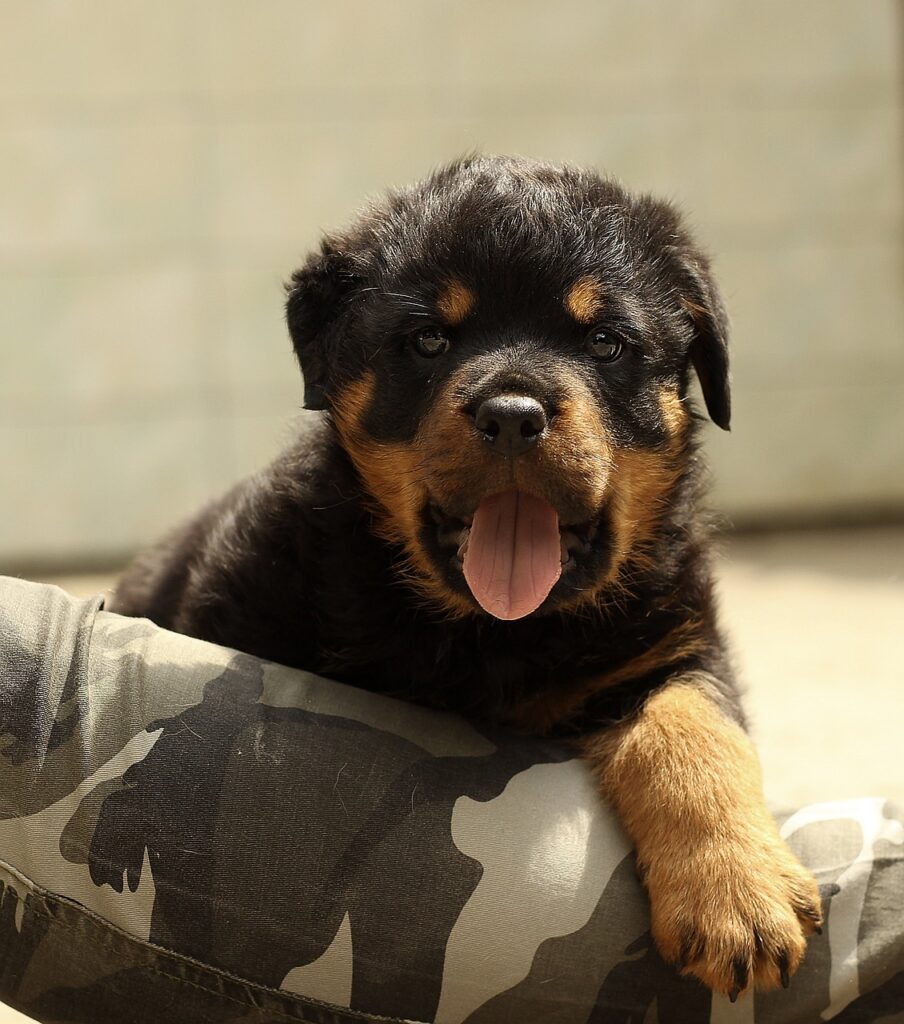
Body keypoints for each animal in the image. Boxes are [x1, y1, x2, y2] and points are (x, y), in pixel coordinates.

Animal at [111, 153, 819, 999]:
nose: (512, 414)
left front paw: (739, 893)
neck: (492, 637)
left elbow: (696, 736)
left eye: (606, 342)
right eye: (428, 340)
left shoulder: (672, 645)